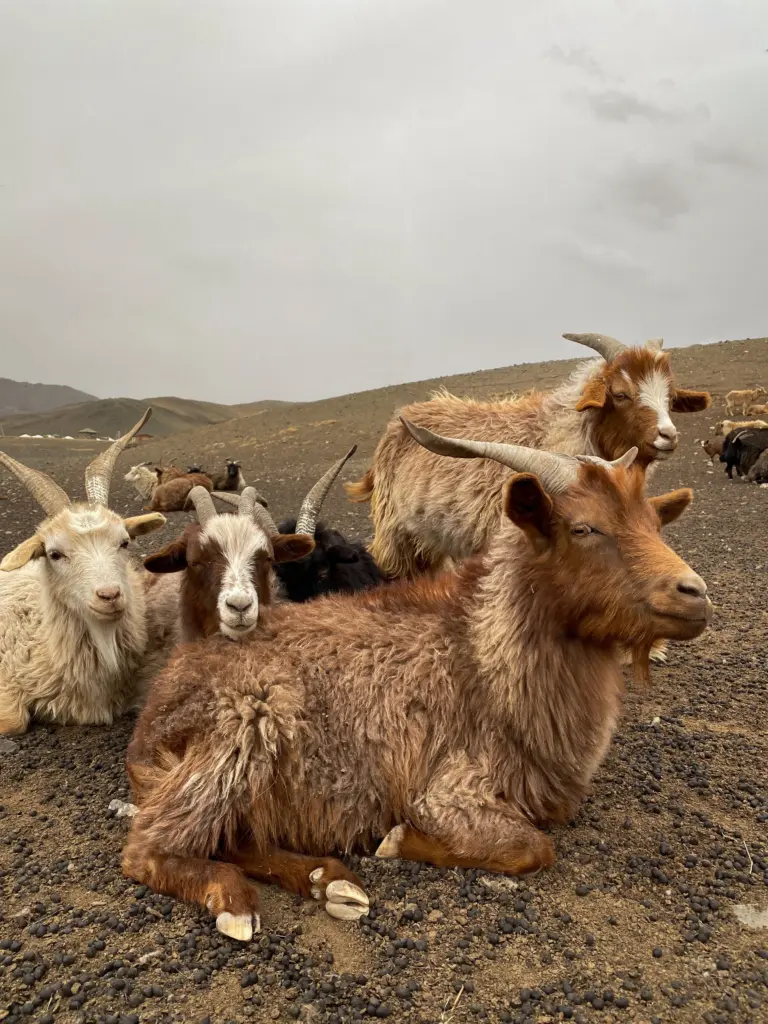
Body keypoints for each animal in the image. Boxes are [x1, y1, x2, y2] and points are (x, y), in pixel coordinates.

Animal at [346, 332, 710, 579]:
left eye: (670, 397)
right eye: (620, 394)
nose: (668, 435)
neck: (553, 432)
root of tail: (399, 419)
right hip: (397, 537)